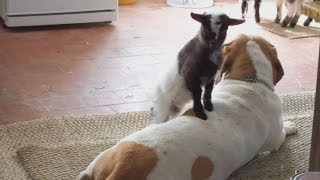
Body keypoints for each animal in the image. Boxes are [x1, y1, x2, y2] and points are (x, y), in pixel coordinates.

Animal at [77, 34, 298, 180]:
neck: (248, 79)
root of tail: (123, 168)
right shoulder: (276, 140)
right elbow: (283, 133)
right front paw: (290, 125)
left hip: (103, 157)